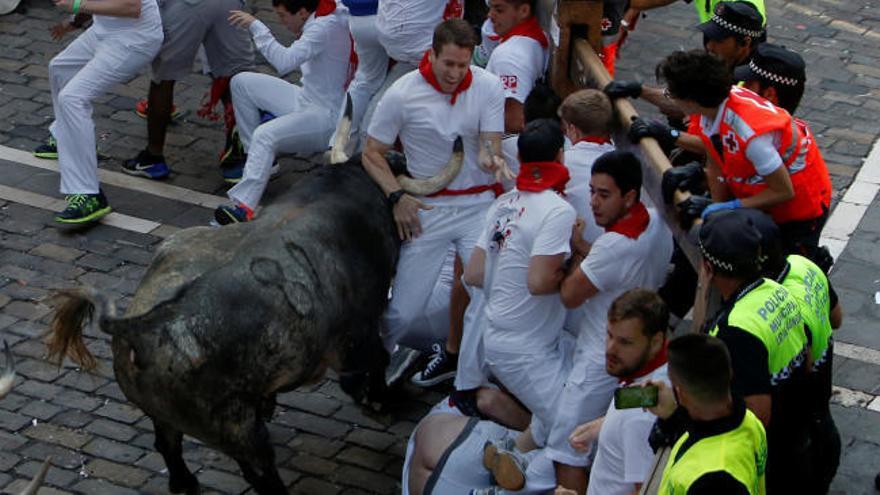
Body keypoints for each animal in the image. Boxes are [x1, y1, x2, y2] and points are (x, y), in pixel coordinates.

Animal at [43, 145, 460, 494]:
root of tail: (144, 325)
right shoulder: (358, 335)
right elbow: (372, 365)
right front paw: (381, 400)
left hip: (164, 413)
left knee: (167, 443)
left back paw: (185, 484)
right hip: (240, 431)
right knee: (258, 471)